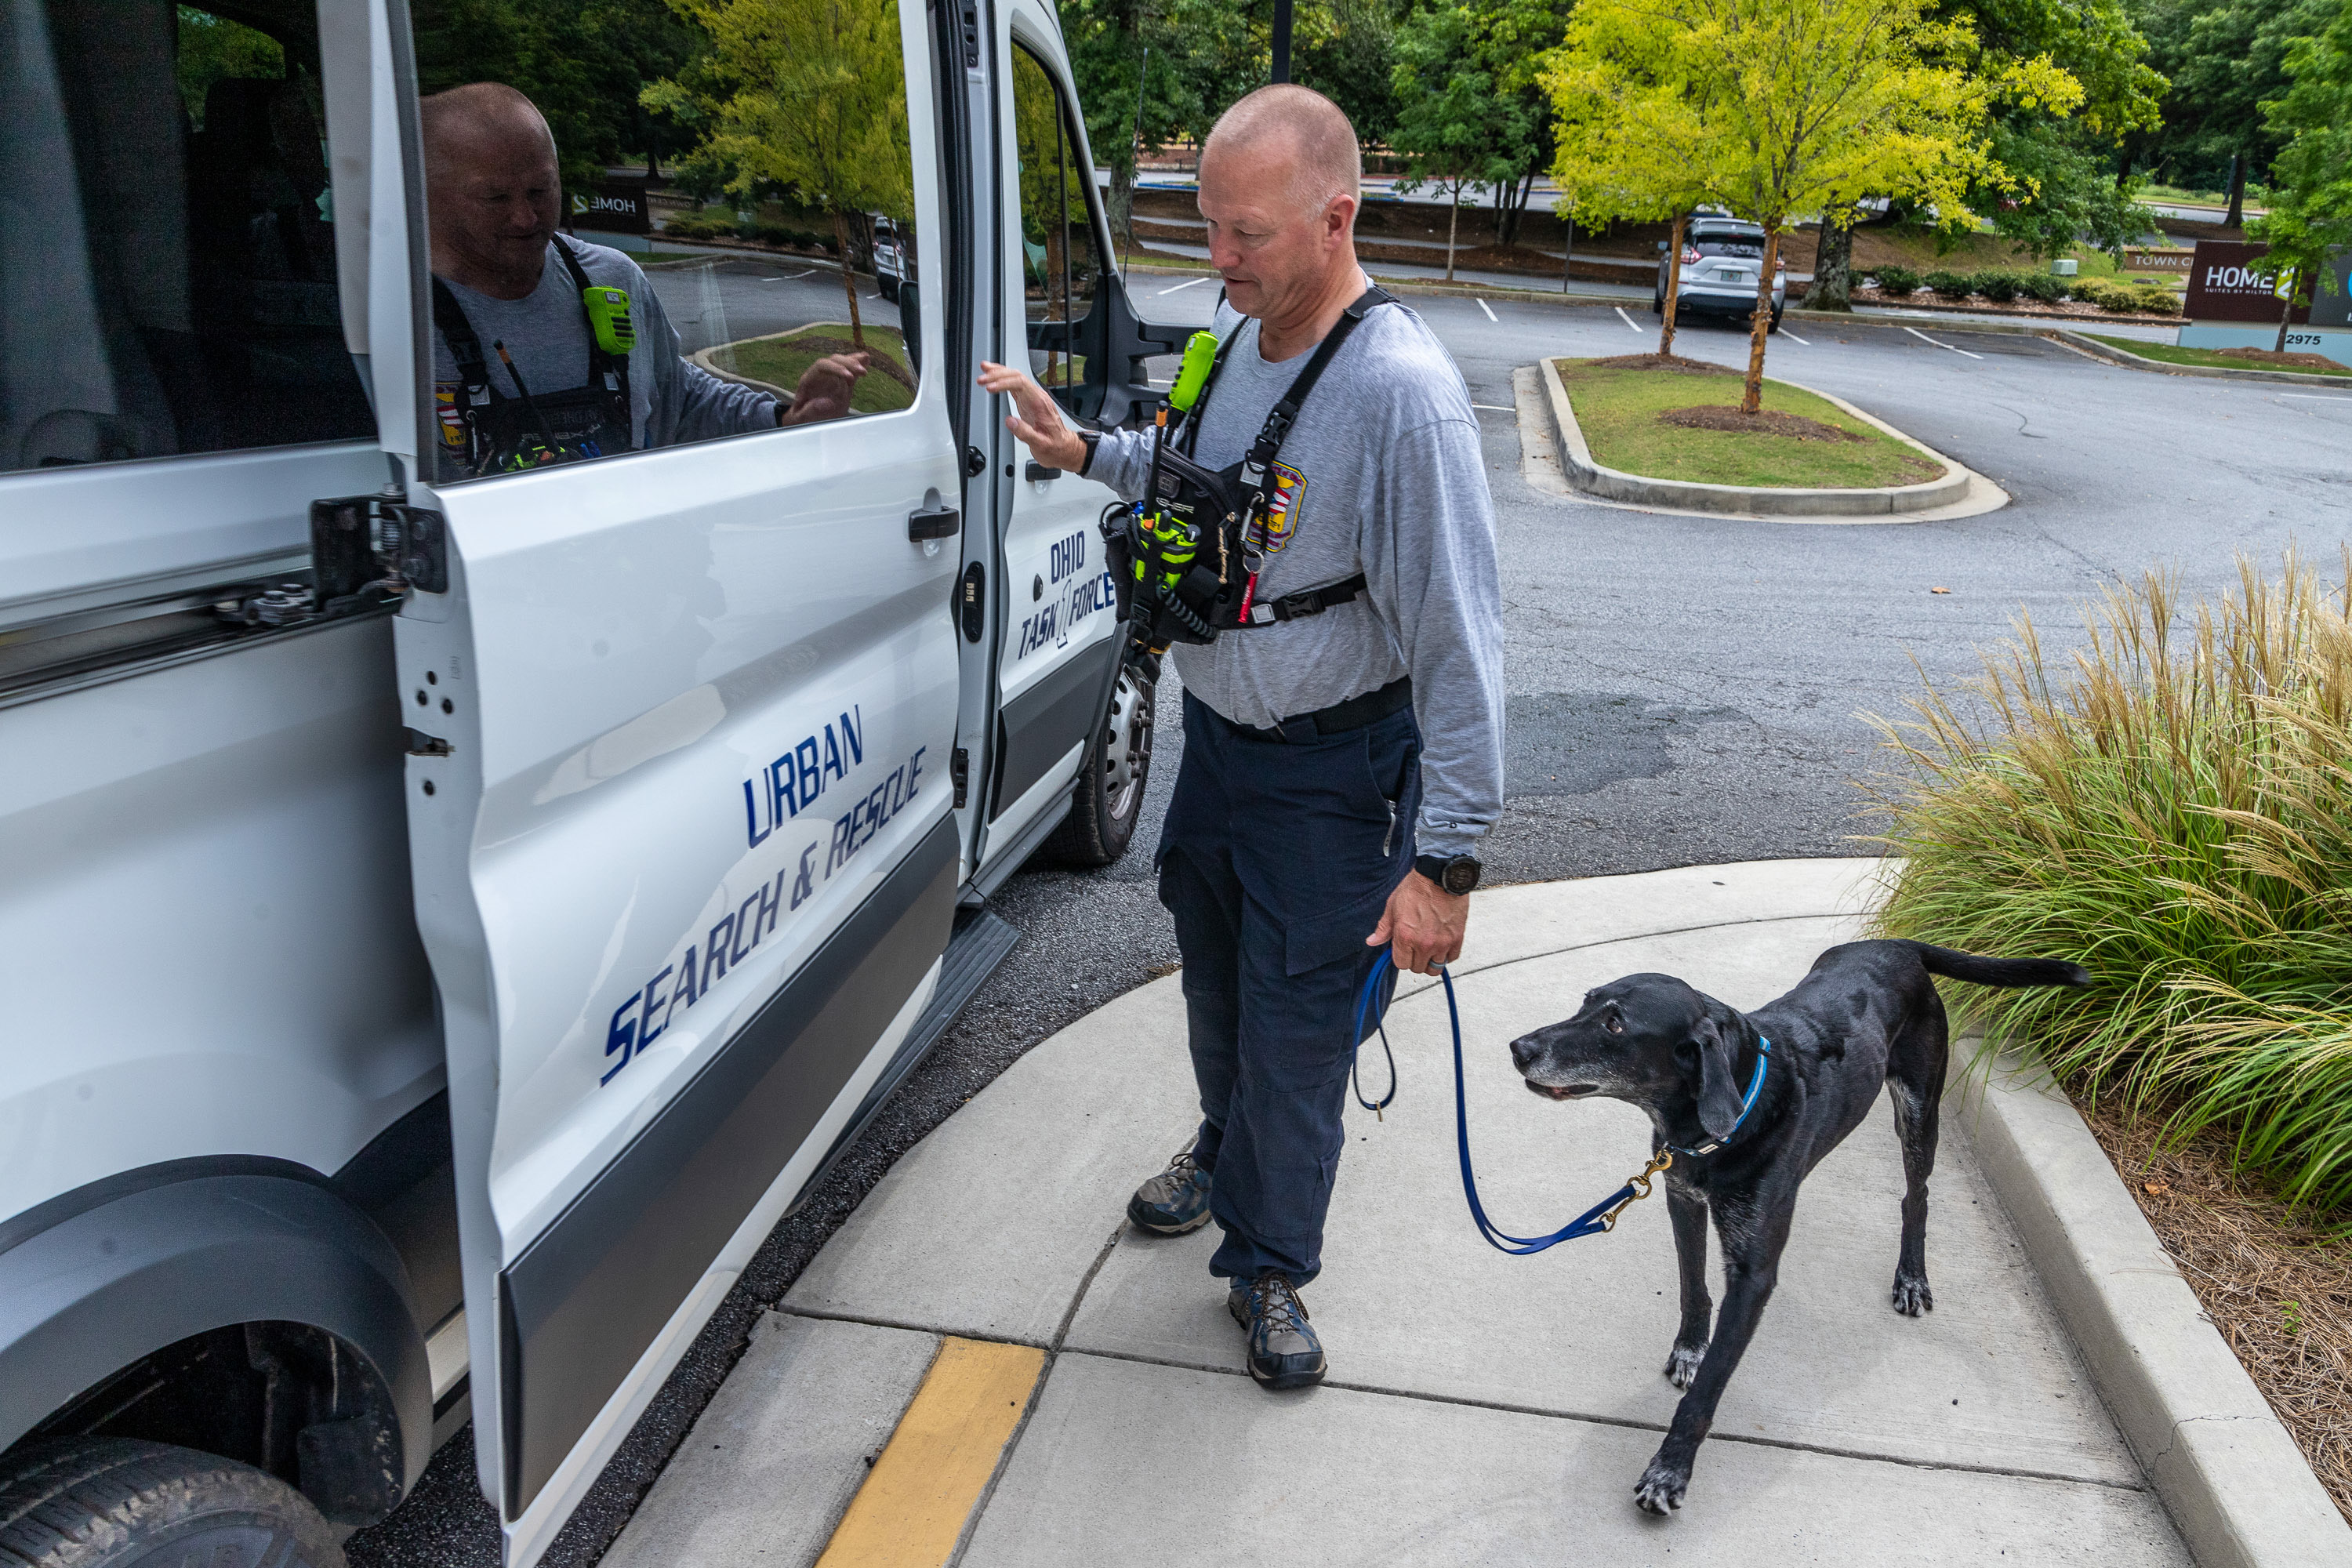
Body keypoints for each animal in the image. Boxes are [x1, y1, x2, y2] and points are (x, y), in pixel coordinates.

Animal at [1505, 940, 2098, 1514]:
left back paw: (1911, 1275)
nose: (1518, 1049)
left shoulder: (1752, 1277)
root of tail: (1901, 945)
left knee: (1917, 1196)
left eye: (1616, 1025)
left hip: (1917, 1106)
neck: (1719, 1117)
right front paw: (1690, 1350)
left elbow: (1708, 1389)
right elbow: (1693, 1289)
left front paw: (1669, 1471)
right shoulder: (1682, 1200)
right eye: (1585, 1002)